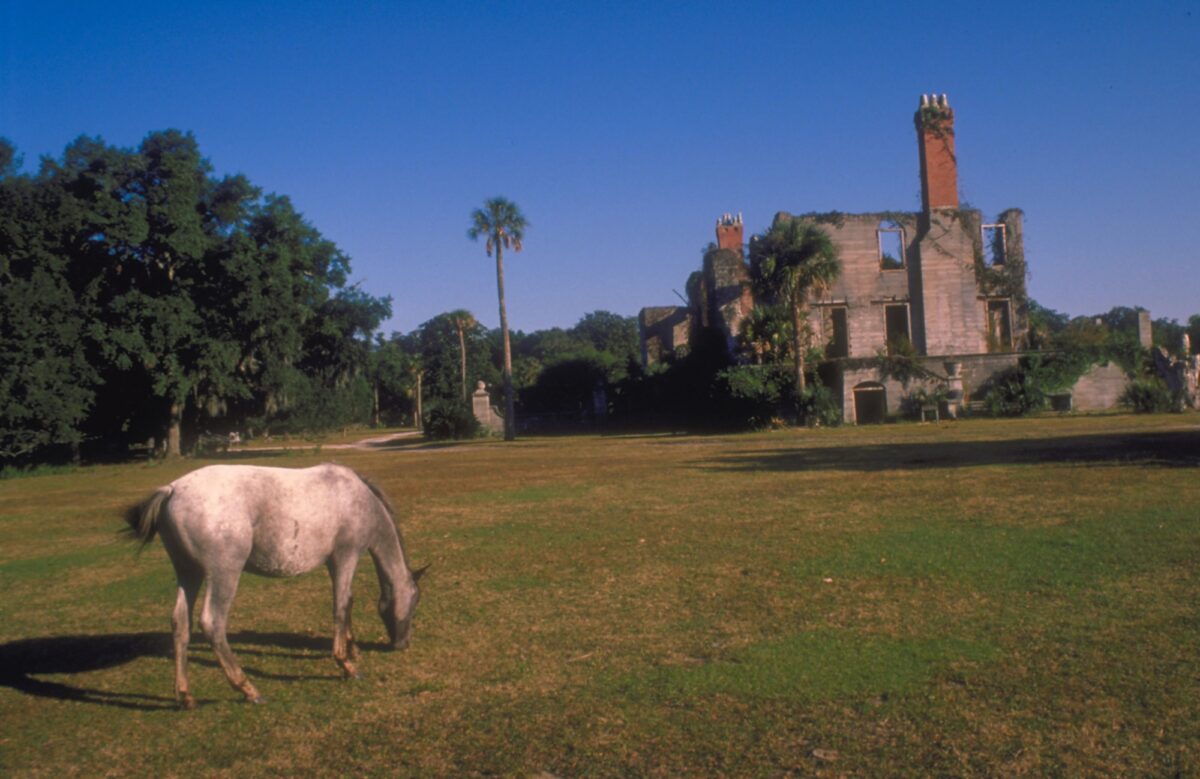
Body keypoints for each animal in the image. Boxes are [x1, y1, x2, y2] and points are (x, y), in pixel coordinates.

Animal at [124, 463, 424, 709]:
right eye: (415, 602)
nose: (403, 644)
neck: (359, 498)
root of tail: (172, 490)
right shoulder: (346, 556)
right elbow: (341, 605)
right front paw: (346, 664)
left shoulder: (334, 563)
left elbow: (346, 603)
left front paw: (352, 649)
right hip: (223, 574)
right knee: (213, 623)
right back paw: (248, 689)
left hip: (189, 573)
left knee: (180, 624)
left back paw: (186, 696)